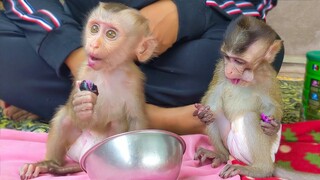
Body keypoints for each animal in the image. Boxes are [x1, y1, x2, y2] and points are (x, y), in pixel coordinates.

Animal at [19, 2, 157, 179]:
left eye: (111, 34)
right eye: (94, 28)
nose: (93, 44)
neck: (109, 71)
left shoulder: (135, 81)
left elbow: (136, 119)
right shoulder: (84, 71)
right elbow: (80, 116)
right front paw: (82, 106)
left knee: (118, 121)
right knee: (64, 118)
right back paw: (48, 164)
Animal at [192, 15, 320, 180]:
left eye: (238, 61)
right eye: (227, 57)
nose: (229, 70)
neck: (246, 77)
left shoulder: (269, 78)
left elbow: (273, 105)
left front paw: (274, 127)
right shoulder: (220, 69)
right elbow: (212, 99)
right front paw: (204, 114)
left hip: (248, 153)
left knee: (251, 117)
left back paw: (260, 170)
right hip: (230, 144)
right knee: (217, 113)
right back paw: (220, 155)